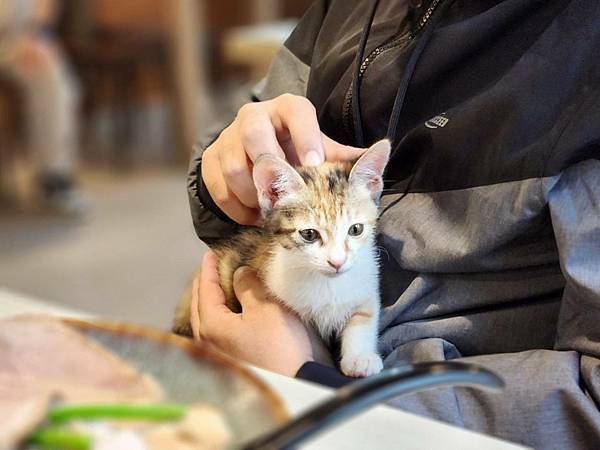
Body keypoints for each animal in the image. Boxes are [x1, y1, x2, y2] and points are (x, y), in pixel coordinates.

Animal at [173, 140, 390, 376]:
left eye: (356, 229)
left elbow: (364, 316)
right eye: (309, 234)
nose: (337, 262)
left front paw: (360, 358)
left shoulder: (365, 282)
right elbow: (317, 348)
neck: (327, 284)